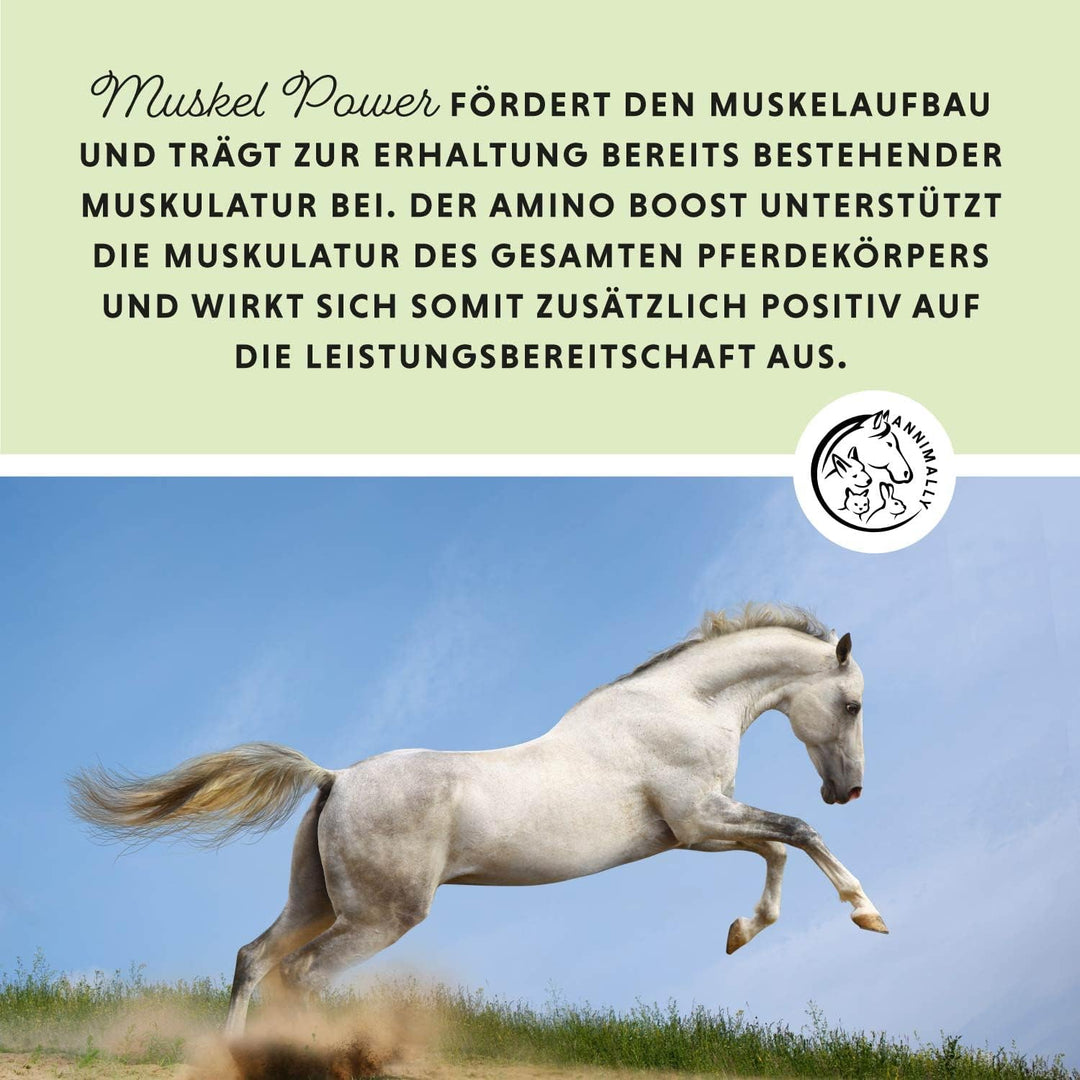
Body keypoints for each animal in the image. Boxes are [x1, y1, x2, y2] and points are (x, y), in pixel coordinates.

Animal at [69, 603, 888, 1037]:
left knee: (254, 959)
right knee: (301, 976)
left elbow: (777, 851)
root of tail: (335, 778)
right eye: (852, 705)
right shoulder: (700, 821)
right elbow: (797, 835)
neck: (680, 709)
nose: (848, 790)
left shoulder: (700, 831)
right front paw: (867, 915)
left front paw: (740, 932)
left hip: (317, 901)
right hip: (379, 917)